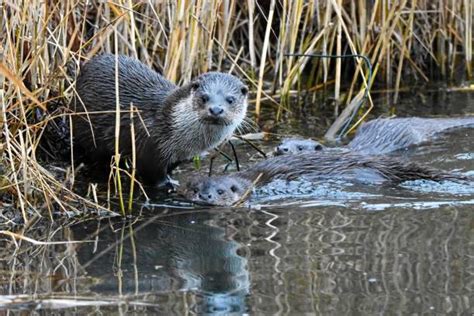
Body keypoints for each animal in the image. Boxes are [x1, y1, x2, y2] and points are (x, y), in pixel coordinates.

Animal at [71, 54, 248, 185]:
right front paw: (169, 184)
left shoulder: (179, 156)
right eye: (204, 98)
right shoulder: (152, 144)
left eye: (230, 99)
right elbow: (152, 174)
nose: (216, 109)